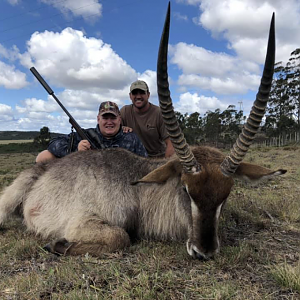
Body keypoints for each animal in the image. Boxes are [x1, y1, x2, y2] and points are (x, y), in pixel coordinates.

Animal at [0, 3, 286, 258]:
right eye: (186, 189)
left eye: (225, 195)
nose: (204, 251)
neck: (135, 187)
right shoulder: (82, 221)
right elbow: (121, 237)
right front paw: (57, 244)